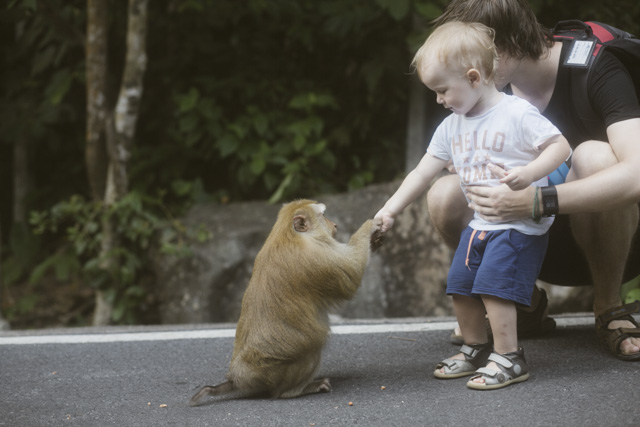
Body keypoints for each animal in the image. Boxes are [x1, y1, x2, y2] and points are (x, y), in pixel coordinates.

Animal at [189, 199, 383, 406]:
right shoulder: (318, 256)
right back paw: (296, 390)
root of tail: (238, 378)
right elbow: (351, 276)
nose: (335, 225)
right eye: (323, 215)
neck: (287, 234)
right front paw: (369, 227)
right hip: (277, 373)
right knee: (312, 348)